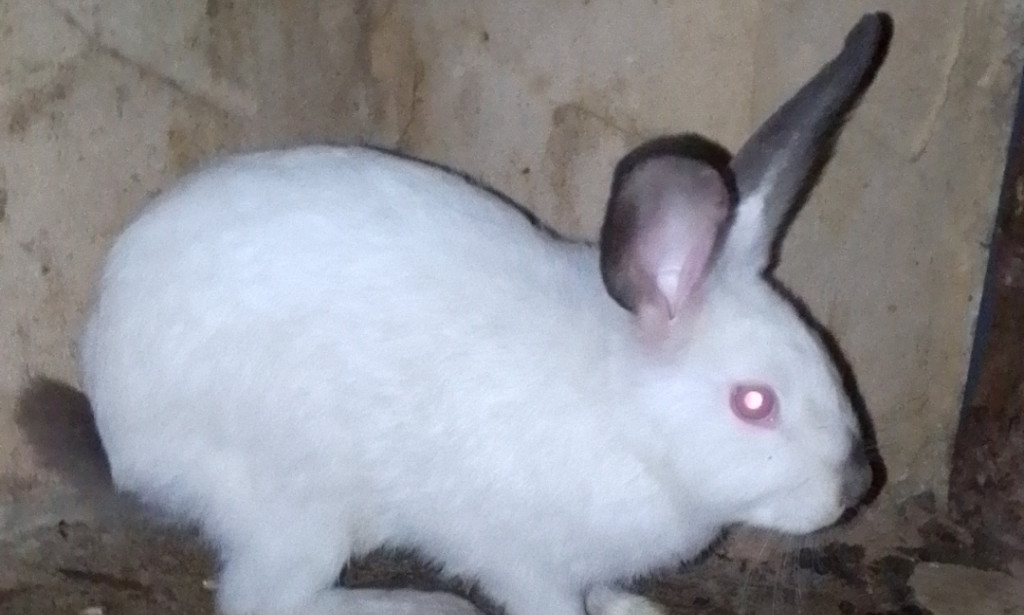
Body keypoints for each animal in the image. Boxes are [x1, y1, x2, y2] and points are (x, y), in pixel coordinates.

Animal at [74, 12, 891, 615]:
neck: (628, 419)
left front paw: (634, 606)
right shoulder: (524, 560)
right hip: (296, 507)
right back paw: (420, 605)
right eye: (754, 403)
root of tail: (112, 411)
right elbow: (549, 602)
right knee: (265, 599)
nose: (856, 488)